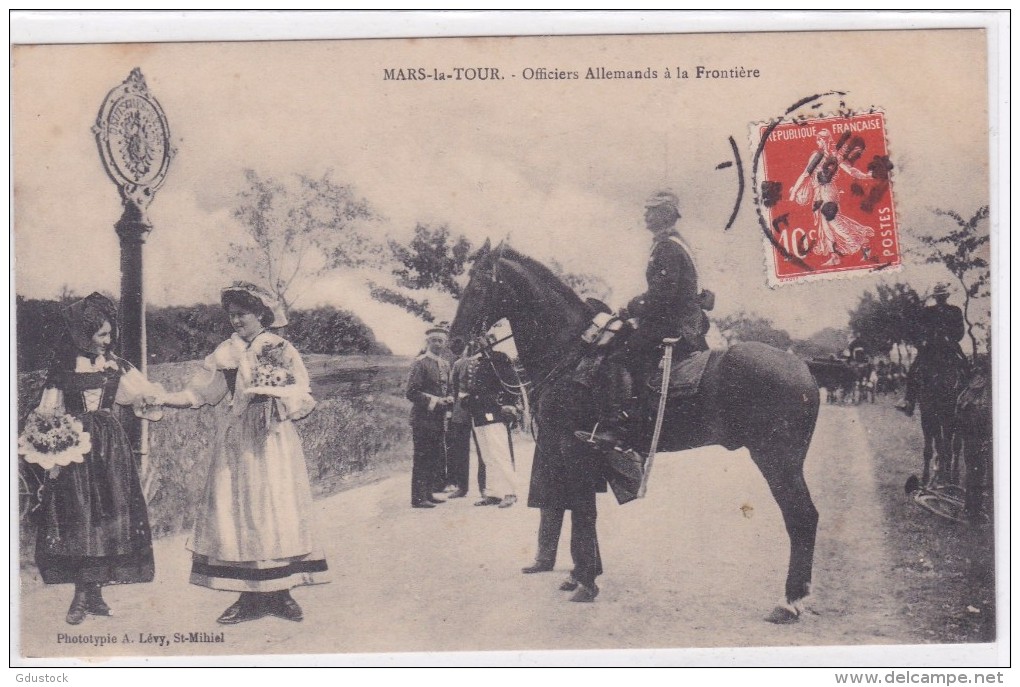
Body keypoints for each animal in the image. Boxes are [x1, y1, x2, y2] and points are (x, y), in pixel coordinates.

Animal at [454, 244, 820, 619]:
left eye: (479, 286)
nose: (455, 340)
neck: (573, 353)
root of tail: (802, 367)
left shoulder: (571, 447)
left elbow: (583, 509)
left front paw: (586, 584)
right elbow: (581, 509)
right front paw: (580, 574)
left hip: (776, 460)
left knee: (801, 516)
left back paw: (789, 601)